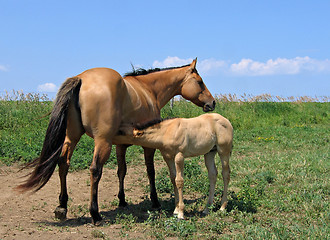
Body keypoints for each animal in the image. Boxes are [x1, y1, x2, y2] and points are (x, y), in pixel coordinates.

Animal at [17, 58, 217, 225]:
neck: (148, 90)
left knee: (63, 163)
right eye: (200, 82)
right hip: (101, 142)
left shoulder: (120, 145)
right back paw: (95, 214)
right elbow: (150, 171)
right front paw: (155, 201)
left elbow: (122, 171)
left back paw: (62, 207)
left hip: (72, 137)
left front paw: (122, 200)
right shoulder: (148, 146)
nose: (212, 103)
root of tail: (81, 79)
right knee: (95, 170)